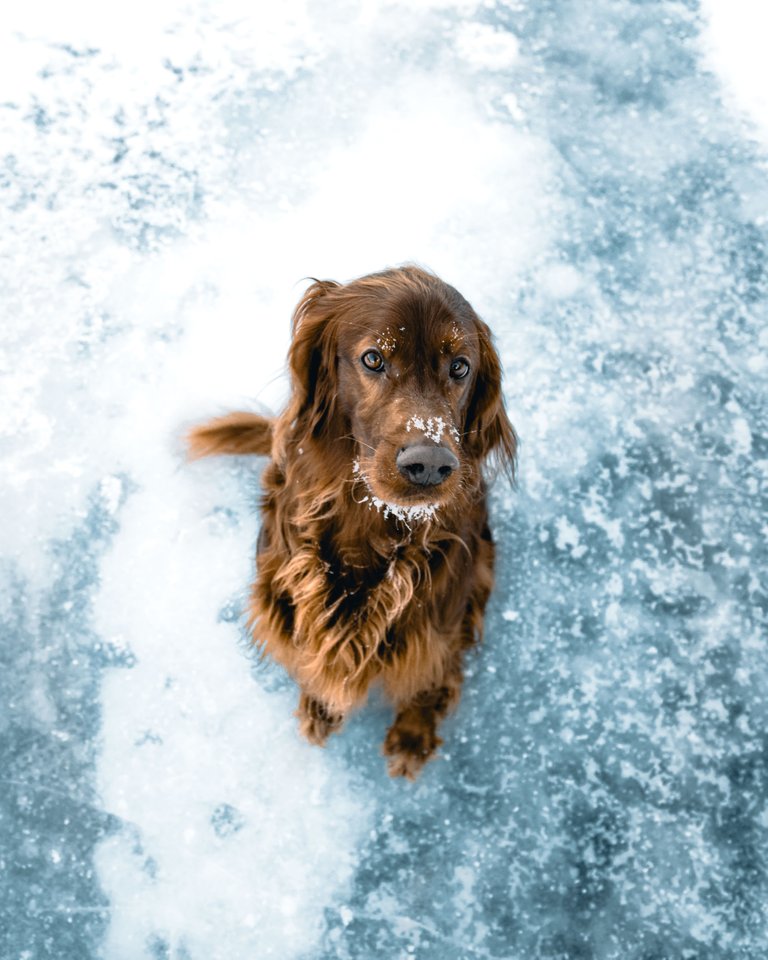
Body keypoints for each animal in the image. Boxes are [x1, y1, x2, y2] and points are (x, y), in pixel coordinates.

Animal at [188, 264, 516, 780]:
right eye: (374, 358)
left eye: (460, 367)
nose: (429, 465)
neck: (371, 521)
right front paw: (319, 706)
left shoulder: (444, 614)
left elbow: (431, 671)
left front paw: (413, 734)